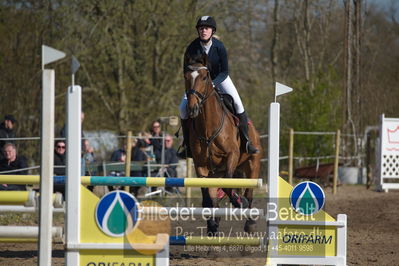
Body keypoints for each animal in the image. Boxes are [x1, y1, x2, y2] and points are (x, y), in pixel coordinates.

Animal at [184, 53, 262, 235]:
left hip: (252, 164)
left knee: (249, 192)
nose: (192, 108)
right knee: (216, 195)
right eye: (186, 77)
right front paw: (212, 224)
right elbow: (207, 196)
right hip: (215, 172)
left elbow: (228, 185)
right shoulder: (201, 165)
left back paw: (249, 221)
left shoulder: (232, 156)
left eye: (204, 77)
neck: (208, 127)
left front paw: (239, 202)